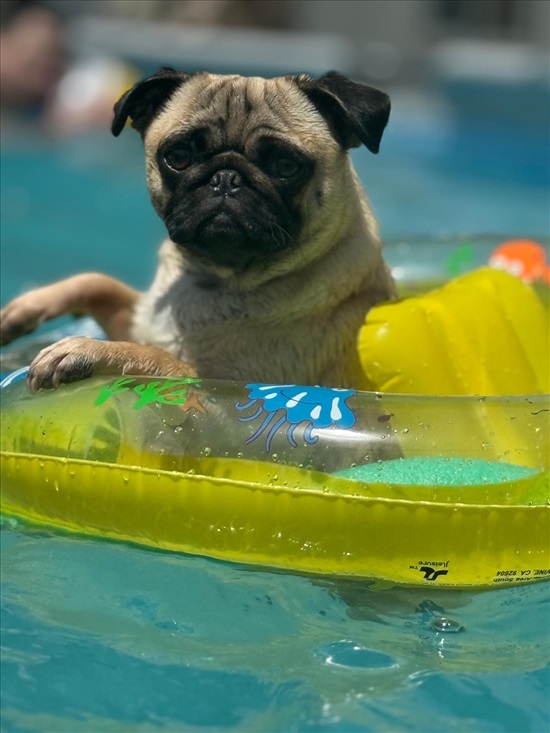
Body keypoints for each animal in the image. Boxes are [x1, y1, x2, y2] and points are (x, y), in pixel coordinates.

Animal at [0, 68, 396, 388]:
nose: (226, 178)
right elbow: (97, 282)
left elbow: (155, 356)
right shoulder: (135, 319)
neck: (212, 280)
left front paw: (86, 350)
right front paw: (23, 311)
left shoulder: (224, 386)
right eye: (178, 157)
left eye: (285, 166)